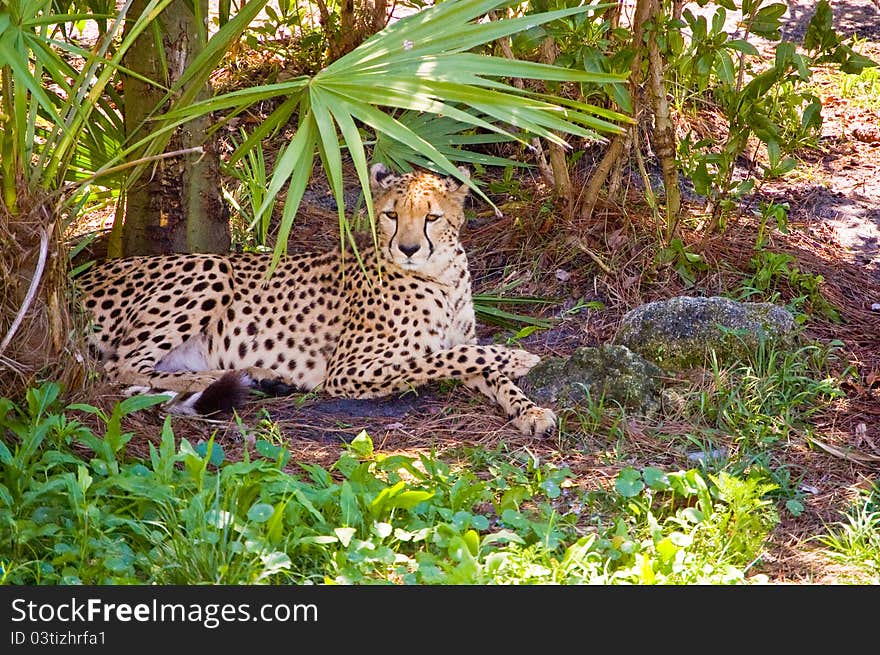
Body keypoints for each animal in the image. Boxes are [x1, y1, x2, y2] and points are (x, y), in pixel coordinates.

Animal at [77, 164, 556, 438]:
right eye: (392, 215)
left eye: (432, 217)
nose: (408, 249)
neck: (440, 276)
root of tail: (78, 276)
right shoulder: (348, 371)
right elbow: (441, 358)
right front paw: (520, 357)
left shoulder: (460, 341)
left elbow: (482, 367)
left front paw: (530, 411)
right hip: (211, 269)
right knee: (119, 369)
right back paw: (227, 377)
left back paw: (262, 378)